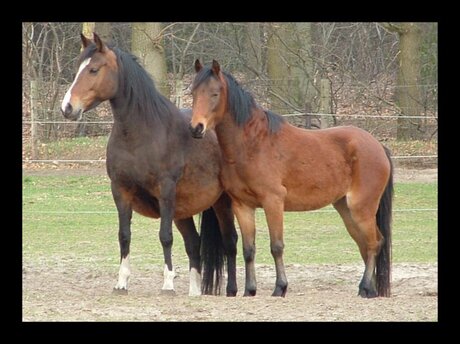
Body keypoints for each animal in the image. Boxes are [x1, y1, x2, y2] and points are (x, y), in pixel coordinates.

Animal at [189, 59, 394, 298]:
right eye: (193, 92)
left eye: (215, 93)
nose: (196, 128)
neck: (252, 144)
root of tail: (378, 146)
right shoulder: (242, 205)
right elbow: (249, 250)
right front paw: (250, 290)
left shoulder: (273, 202)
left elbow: (276, 246)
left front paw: (280, 287)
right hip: (345, 208)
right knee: (366, 243)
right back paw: (369, 290)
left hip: (361, 208)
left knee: (373, 243)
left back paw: (365, 288)